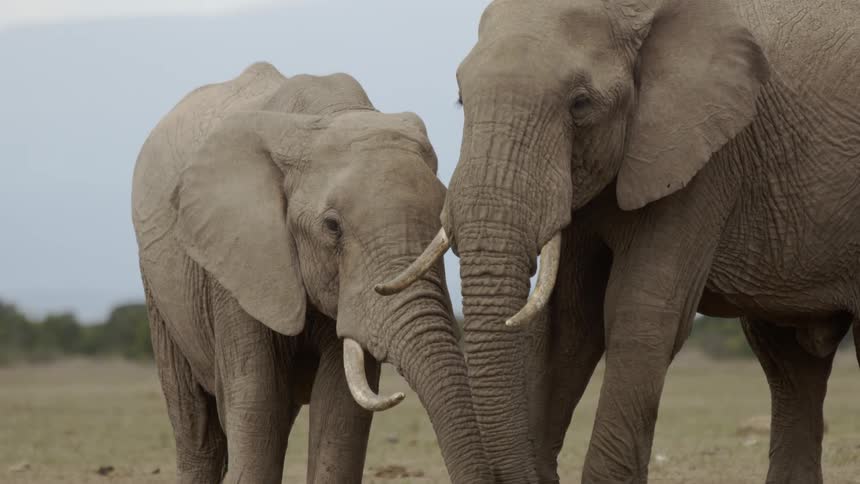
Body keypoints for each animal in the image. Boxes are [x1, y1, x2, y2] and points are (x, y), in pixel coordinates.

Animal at [131, 63, 491, 484]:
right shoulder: (236, 264)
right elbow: (257, 401)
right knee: (197, 429)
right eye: (332, 227)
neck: (322, 118)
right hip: (158, 289)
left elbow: (341, 410)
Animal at [377, 0, 860, 482]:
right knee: (788, 361)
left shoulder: (703, 157)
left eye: (580, 104)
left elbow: (639, 314)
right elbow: (568, 325)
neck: (639, 14)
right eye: (461, 98)